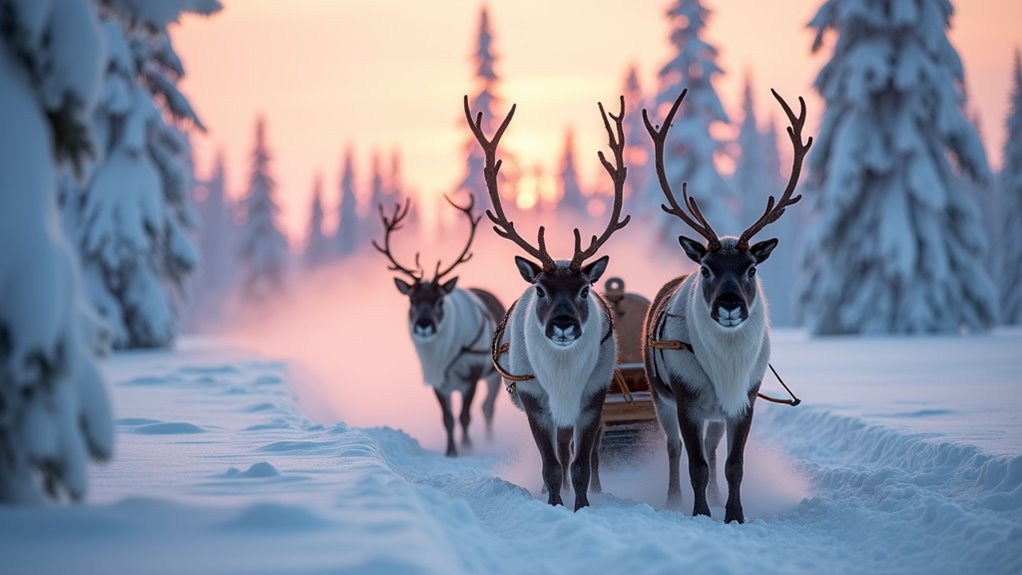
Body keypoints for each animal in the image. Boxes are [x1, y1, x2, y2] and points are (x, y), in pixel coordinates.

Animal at [374, 195, 506, 457]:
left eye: (440, 300)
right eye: (412, 300)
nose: (424, 325)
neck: (444, 355)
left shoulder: (471, 375)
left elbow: (465, 416)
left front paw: (467, 447)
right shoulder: (438, 381)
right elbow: (448, 419)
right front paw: (451, 451)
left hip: (494, 374)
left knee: (487, 409)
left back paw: (489, 441)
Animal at [464, 94, 630, 511]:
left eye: (585, 289)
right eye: (541, 289)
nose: (563, 324)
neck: (563, 375)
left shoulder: (591, 399)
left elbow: (581, 464)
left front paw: (583, 505)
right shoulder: (535, 399)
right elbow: (552, 464)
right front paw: (555, 503)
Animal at [641, 89, 812, 523]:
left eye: (751, 268)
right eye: (706, 268)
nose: (730, 305)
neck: (726, 363)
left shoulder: (744, 399)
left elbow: (734, 464)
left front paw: (733, 513)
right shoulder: (687, 399)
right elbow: (695, 464)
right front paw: (699, 512)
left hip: (716, 414)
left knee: (713, 448)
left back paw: (717, 497)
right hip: (661, 398)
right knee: (674, 449)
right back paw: (673, 498)